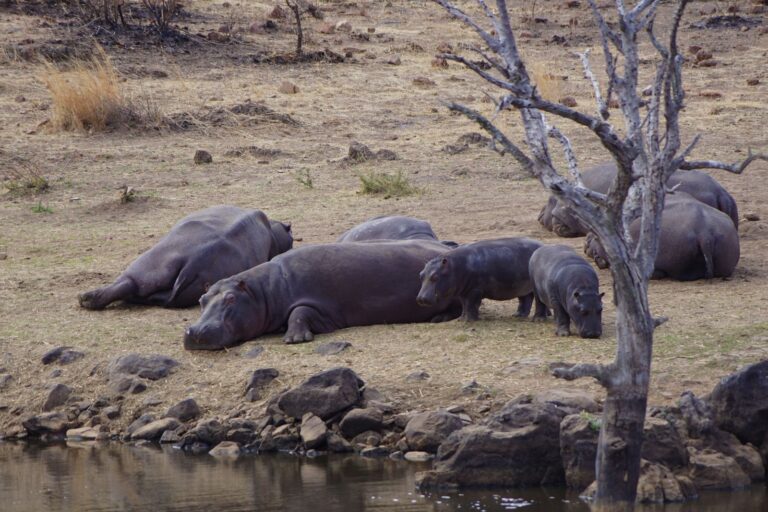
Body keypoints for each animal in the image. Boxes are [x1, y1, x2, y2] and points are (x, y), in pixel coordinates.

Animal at [183, 240, 461, 350]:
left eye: (230, 299)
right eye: (201, 300)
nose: (195, 331)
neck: (263, 291)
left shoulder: (322, 308)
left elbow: (299, 312)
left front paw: (294, 339)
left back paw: (438, 319)